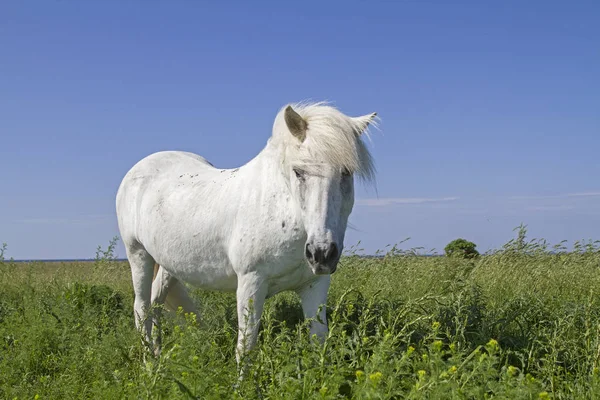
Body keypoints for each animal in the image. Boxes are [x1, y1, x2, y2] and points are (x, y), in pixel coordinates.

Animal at [115, 102, 378, 362]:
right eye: (298, 172)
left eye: (346, 172)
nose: (321, 254)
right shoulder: (251, 283)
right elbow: (246, 346)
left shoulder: (315, 285)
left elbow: (318, 341)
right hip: (138, 253)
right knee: (141, 308)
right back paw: (149, 364)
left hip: (168, 263)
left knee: (156, 303)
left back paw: (158, 354)